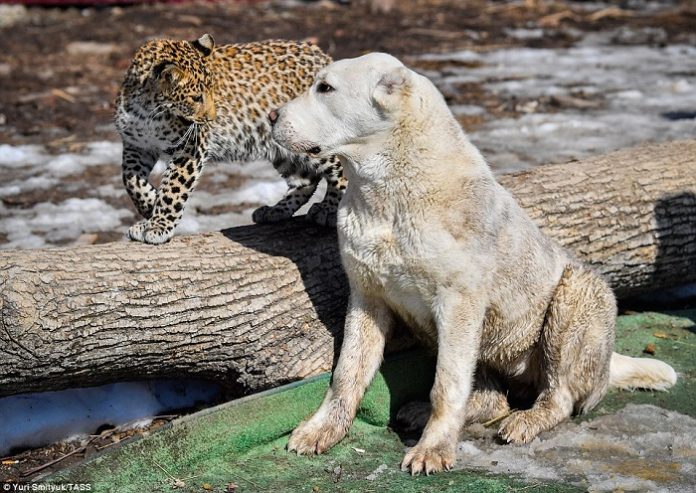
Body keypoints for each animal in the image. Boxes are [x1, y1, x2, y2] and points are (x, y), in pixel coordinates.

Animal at [115, 32, 346, 244]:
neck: (148, 110)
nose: (212, 118)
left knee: (341, 169)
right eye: (196, 98)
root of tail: (323, 56)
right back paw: (274, 211)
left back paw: (329, 210)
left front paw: (159, 225)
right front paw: (149, 206)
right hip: (284, 148)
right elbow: (130, 180)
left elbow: (173, 188)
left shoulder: (189, 148)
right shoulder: (136, 145)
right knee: (305, 180)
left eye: (212, 90)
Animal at [270, 52, 676, 472]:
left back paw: (528, 420)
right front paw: (324, 429)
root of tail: (607, 360)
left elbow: (447, 385)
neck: (385, 193)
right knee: (492, 398)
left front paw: (433, 448)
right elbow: (347, 373)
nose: (271, 116)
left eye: (325, 88)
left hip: (576, 295)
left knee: (559, 395)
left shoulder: (458, 304)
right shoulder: (368, 298)